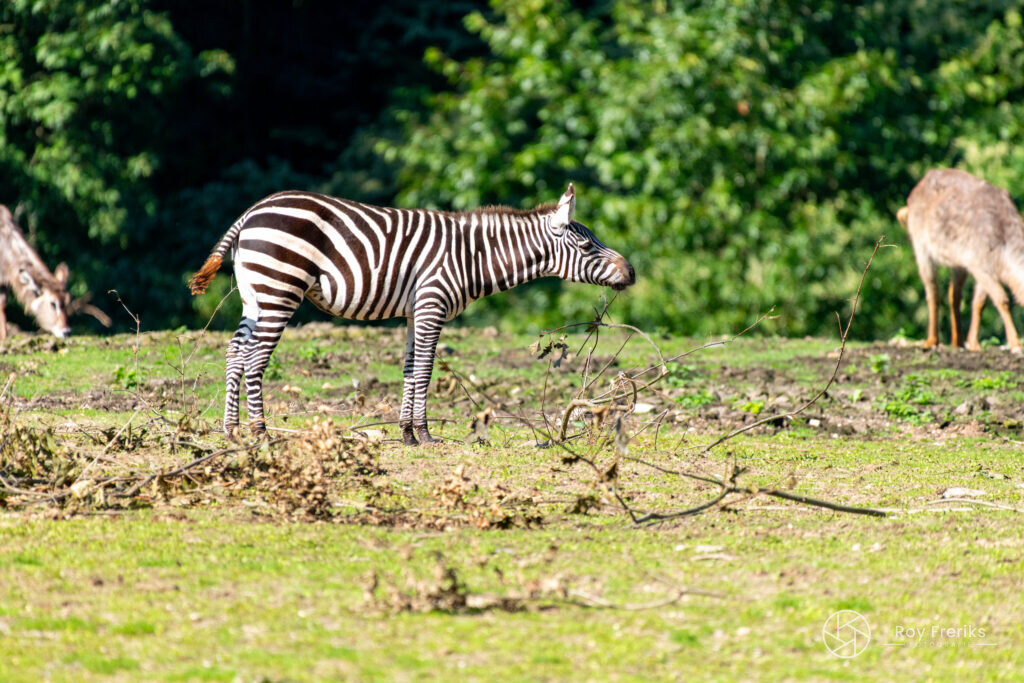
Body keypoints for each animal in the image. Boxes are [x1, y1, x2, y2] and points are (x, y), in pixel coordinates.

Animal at [188, 183, 635, 445]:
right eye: (587, 247)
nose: (631, 272)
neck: (473, 256)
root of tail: (251, 212)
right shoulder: (432, 304)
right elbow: (425, 369)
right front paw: (424, 432)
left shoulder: (413, 312)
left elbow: (408, 367)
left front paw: (406, 433)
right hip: (280, 288)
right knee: (255, 359)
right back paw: (261, 433)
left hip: (254, 295)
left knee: (234, 353)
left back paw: (231, 431)